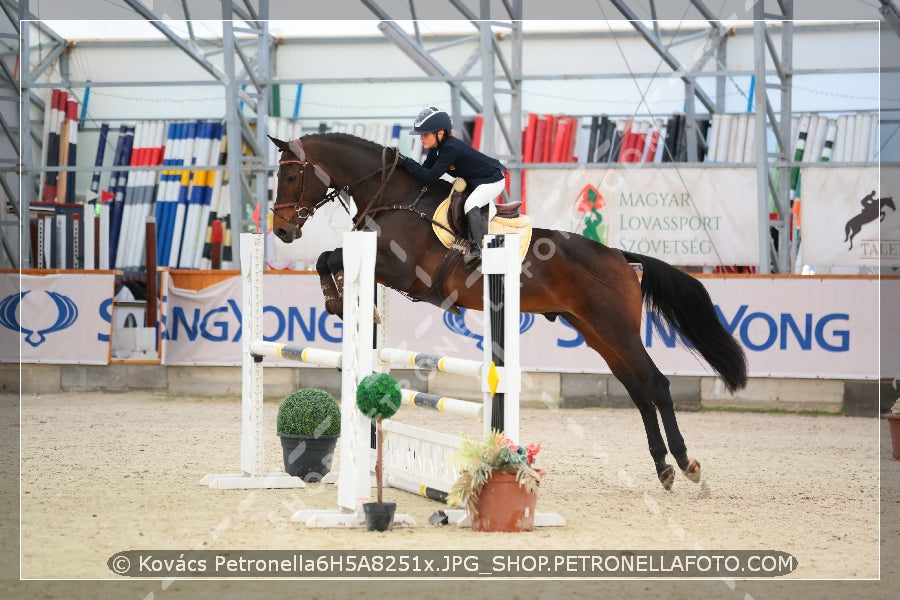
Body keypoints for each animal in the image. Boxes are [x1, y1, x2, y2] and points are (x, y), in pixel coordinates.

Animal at [270, 132, 748, 492]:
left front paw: (336, 302)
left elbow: (329, 257)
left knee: (658, 385)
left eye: (291, 175)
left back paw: (685, 464)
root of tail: (619, 256)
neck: (395, 197)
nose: (281, 230)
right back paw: (663, 468)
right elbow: (328, 259)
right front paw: (342, 304)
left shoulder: (402, 271)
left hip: (620, 332)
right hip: (598, 335)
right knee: (638, 390)